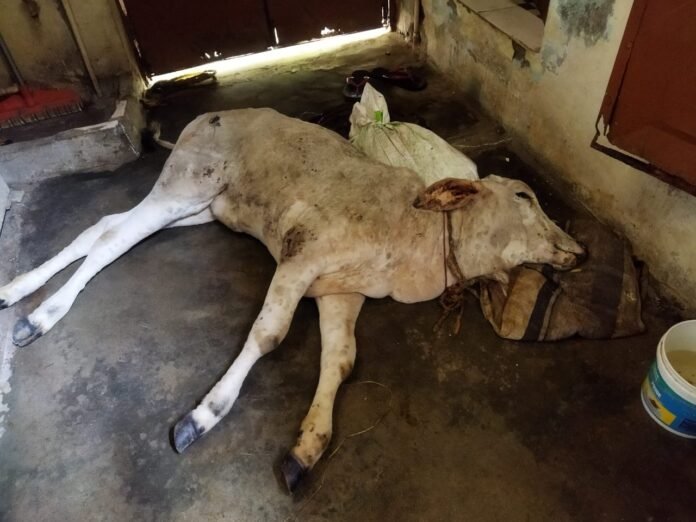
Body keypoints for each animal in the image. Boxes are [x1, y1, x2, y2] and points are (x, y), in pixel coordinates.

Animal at [0, 108, 585, 492]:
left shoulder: (343, 290)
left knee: (102, 227)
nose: (579, 250)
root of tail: (204, 116)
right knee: (111, 240)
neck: (411, 235)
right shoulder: (300, 256)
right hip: (185, 185)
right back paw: (40, 315)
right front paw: (203, 415)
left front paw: (306, 449)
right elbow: (269, 334)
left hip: (201, 208)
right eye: (524, 195)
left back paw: (18, 291)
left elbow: (341, 361)